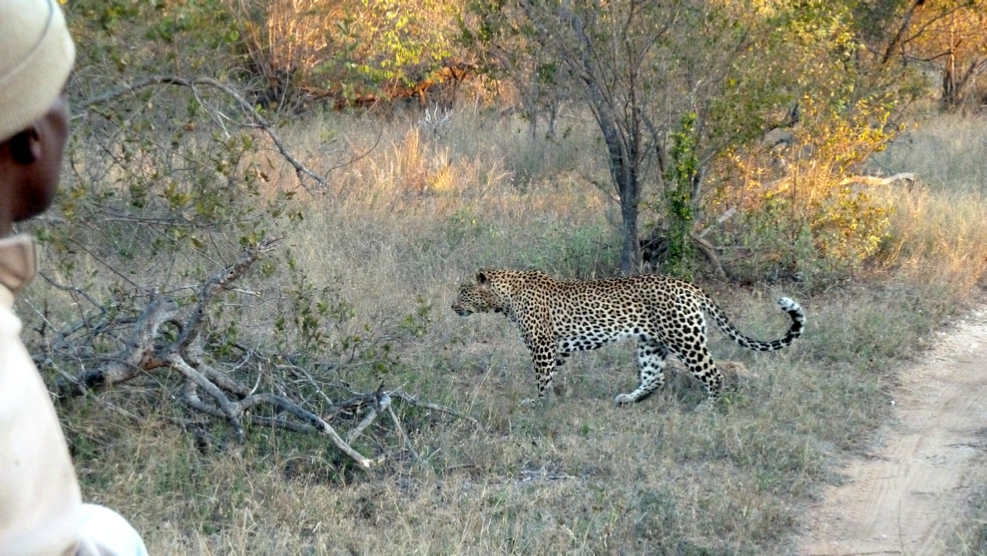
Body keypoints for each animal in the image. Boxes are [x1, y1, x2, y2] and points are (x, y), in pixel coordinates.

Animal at [452, 268, 808, 404]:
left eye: (463, 291)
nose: (452, 305)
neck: (504, 297)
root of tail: (688, 286)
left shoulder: (542, 345)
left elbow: (541, 377)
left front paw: (536, 402)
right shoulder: (557, 348)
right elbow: (550, 374)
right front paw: (546, 398)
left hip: (685, 338)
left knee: (714, 374)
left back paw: (707, 408)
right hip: (651, 343)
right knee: (655, 378)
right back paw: (628, 399)